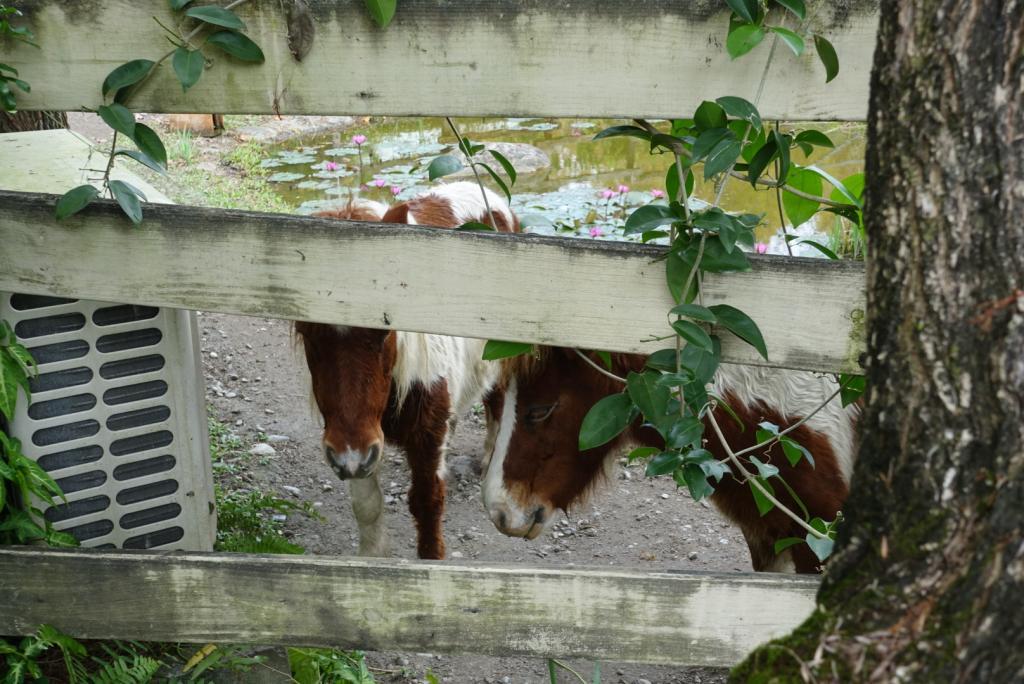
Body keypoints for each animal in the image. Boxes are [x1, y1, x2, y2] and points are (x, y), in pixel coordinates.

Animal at [296, 183, 520, 561]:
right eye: (305, 332)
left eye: (384, 330)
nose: (349, 456)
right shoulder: (362, 444)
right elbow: (367, 506)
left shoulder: (423, 437)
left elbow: (427, 504)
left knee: (497, 401)